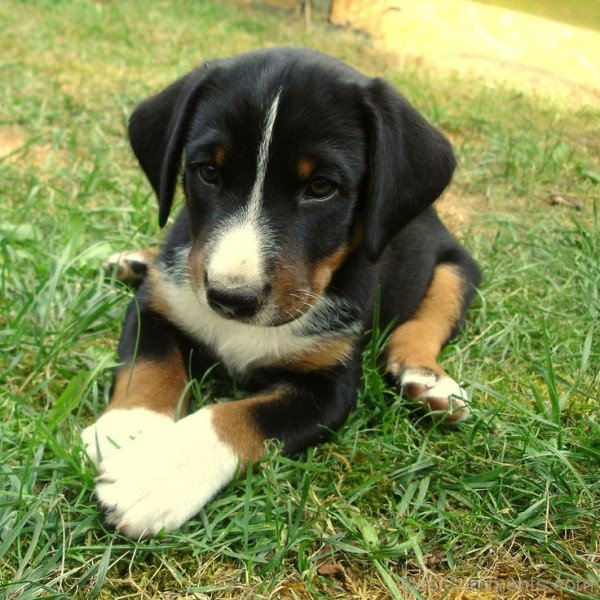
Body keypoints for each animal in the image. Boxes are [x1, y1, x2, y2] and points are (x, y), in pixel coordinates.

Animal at [81, 45, 482, 536]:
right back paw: (135, 261)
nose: (230, 298)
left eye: (321, 186)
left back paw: (428, 381)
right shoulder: (157, 304)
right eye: (208, 172)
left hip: (456, 268)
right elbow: (150, 362)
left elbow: (237, 417)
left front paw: (157, 474)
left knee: (428, 321)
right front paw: (129, 427)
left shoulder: (327, 389)